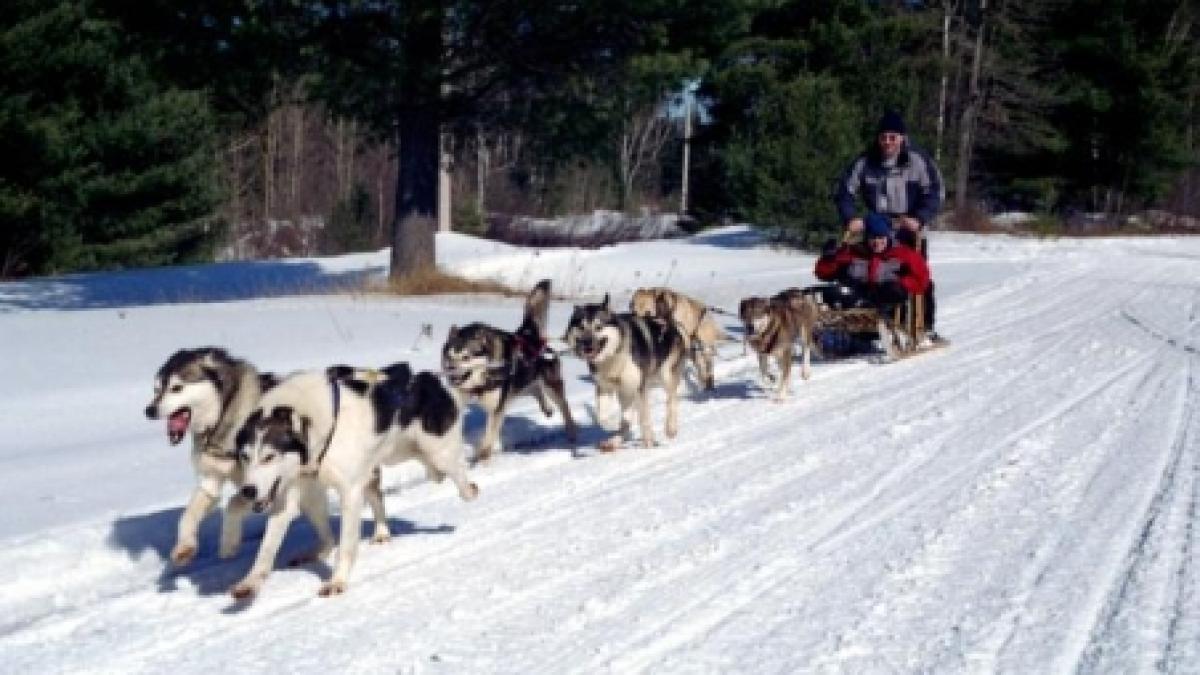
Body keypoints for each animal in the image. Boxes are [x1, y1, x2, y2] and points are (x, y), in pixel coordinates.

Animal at [144, 345, 279, 562]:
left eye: (176, 388)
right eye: (156, 389)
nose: (149, 410)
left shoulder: (264, 487)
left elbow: (232, 505)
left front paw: (229, 541)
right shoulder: (211, 480)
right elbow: (187, 515)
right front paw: (185, 546)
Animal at [231, 362, 475, 593]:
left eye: (269, 457)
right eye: (244, 456)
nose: (248, 490)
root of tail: (431, 380)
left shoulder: (350, 492)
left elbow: (346, 547)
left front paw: (337, 581)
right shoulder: (289, 497)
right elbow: (266, 548)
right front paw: (250, 582)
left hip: (438, 456)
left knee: (461, 480)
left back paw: (471, 489)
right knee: (361, 510)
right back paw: (370, 536)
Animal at [446, 276, 580, 458]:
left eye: (466, 357)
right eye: (450, 357)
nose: (452, 375)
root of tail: (529, 335)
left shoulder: (497, 408)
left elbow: (489, 435)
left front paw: (483, 455)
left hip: (550, 386)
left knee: (564, 407)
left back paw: (571, 432)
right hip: (520, 385)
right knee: (535, 389)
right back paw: (547, 408)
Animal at [561, 293, 686, 446]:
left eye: (598, 327)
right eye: (581, 327)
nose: (587, 344)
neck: (613, 356)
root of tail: (666, 322)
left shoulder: (639, 387)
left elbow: (644, 417)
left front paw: (649, 441)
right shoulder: (604, 387)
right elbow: (602, 416)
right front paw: (609, 424)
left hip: (665, 375)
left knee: (671, 400)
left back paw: (670, 428)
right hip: (626, 392)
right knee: (627, 420)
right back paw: (614, 441)